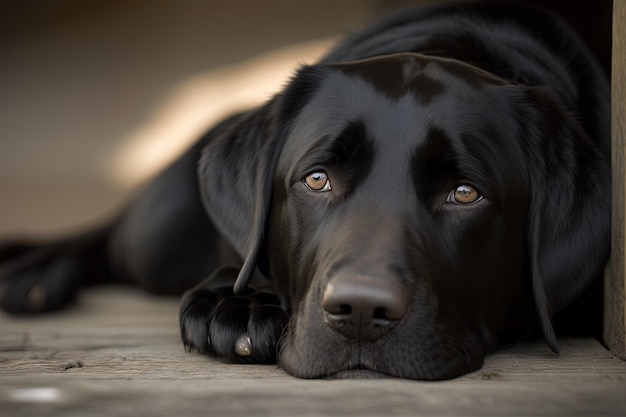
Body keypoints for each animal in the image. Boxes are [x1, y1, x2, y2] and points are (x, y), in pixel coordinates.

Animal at [0, 1, 608, 378]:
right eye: (317, 179)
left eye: (464, 194)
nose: (360, 311)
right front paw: (238, 303)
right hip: (158, 234)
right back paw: (34, 271)